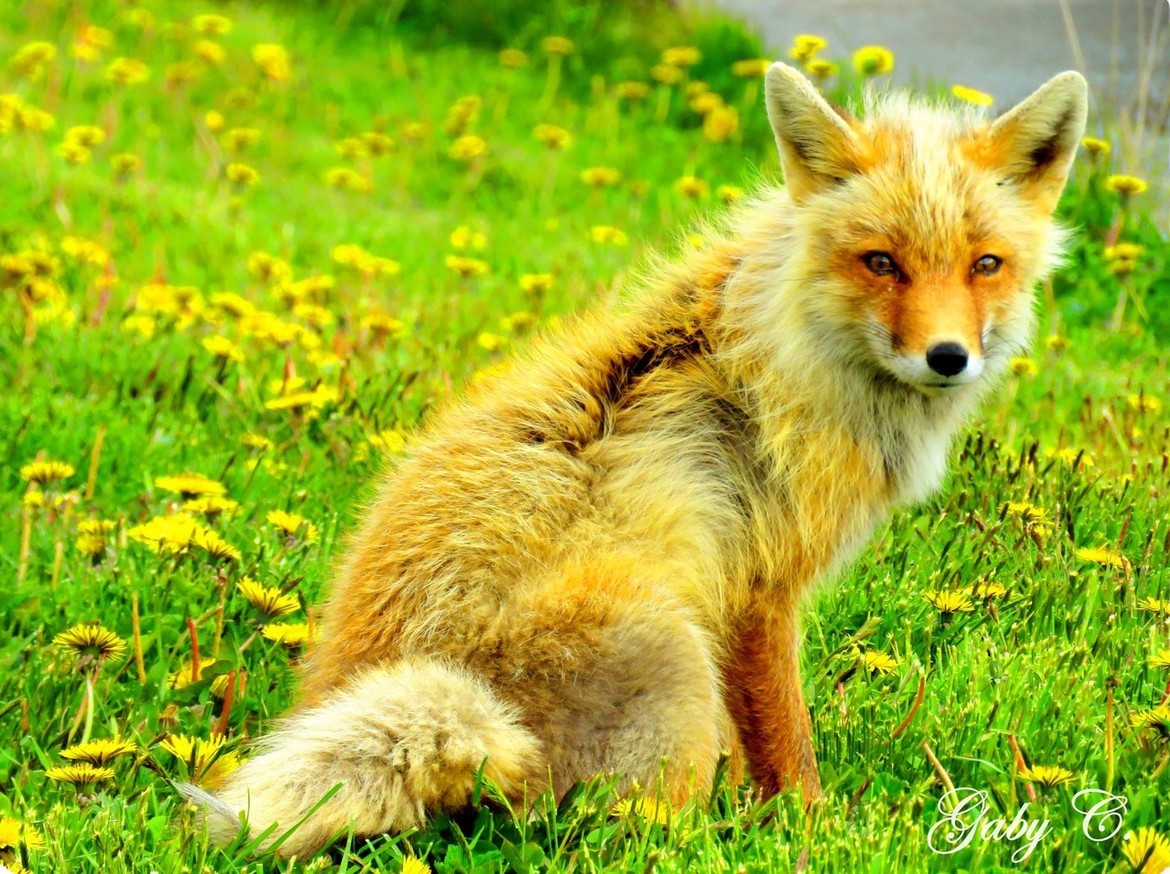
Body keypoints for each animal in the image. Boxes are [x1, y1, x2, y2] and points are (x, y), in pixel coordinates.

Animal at [188, 63, 1088, 858]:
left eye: (984, 265)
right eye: (882, 262)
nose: (948, 357)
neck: (785, 354)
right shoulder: (759, 592)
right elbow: (790, 747)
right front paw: (813, 831)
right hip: (674, 649)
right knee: (628, 831)